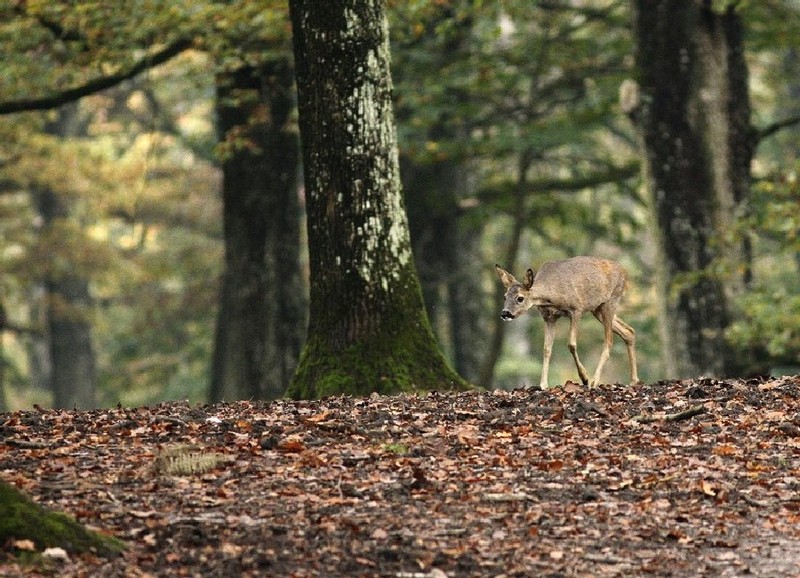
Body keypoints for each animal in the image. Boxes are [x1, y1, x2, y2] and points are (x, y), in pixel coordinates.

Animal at [494, 256, 636, 388]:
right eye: (505, 297)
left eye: (520, 298)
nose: (505, 313)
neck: (551, 295)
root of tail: (624, 272)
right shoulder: (549, 317)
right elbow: (546, 349)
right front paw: (543, 384)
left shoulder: (577, 309)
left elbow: (571, 344)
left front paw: (584, 378)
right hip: (597, 309)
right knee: (629, 331)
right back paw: (634, 380)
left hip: (610, 301)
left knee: (609, 341)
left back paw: (594, 381)